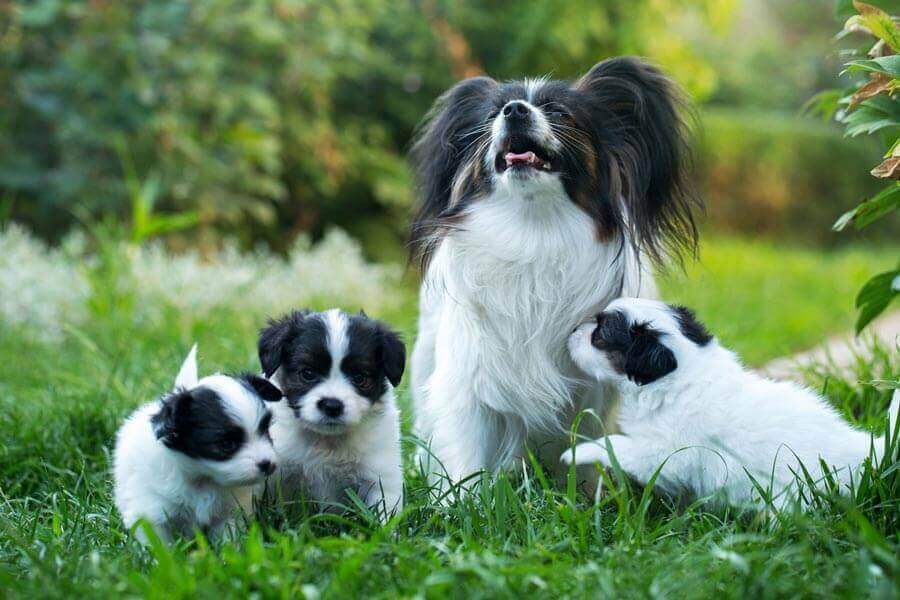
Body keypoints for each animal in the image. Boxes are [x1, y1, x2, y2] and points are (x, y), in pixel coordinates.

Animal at [113, 342, 282, 544]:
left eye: (265, 430)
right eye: (226, 444)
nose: (267, 464)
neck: (202, 477)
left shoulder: (229, 512)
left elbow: (228, 537)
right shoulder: (151, 513)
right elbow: (159, 543)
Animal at [256, 310, 404, 520]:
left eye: (360, 377)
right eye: (307, 373)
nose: (332, 405)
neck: (328, 442)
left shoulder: (379, 474)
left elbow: (385, 510)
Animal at [560, 300, 896, 510]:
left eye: (599, 335)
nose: (573, 330)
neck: (682, 373)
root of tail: (868, 453)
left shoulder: (665, 452)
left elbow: (618, 444)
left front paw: (576, 452)